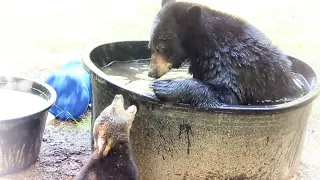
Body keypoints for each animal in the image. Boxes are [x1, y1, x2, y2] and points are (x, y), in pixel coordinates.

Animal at [148, 0, 308, 108]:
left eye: (161, 47)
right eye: (150, 46)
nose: (151, 72)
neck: (205, 44)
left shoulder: (234, 62)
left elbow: (229, 94)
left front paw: (164, 86)